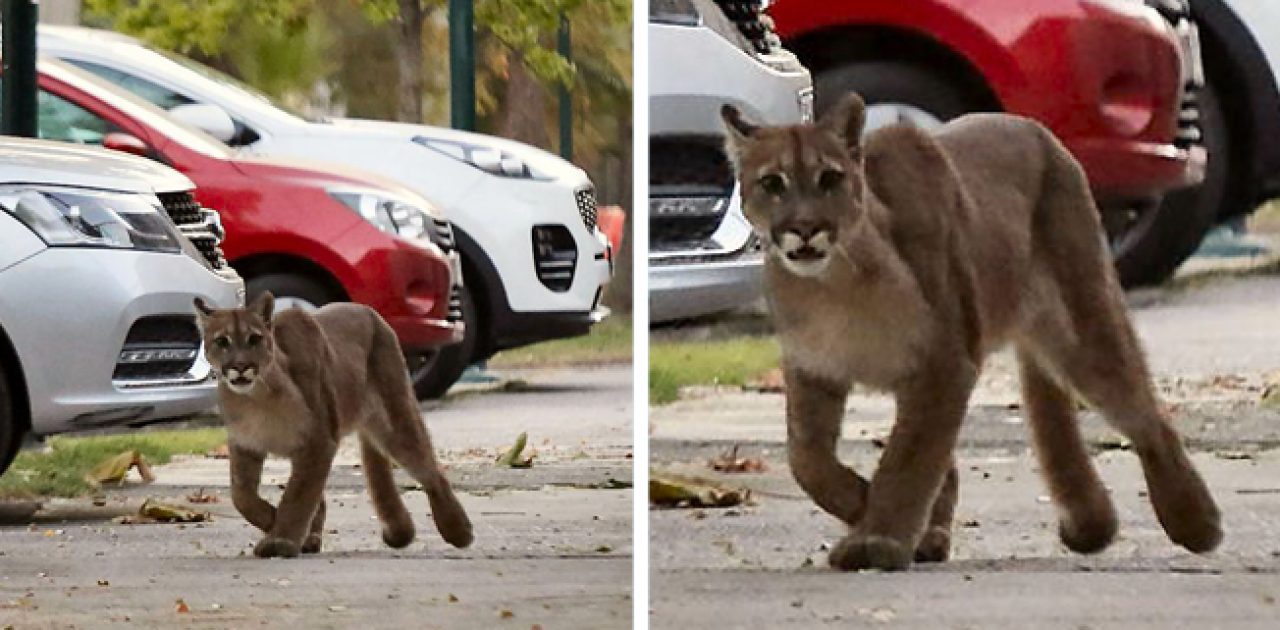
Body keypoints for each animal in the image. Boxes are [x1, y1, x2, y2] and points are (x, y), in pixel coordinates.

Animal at [197, 293, 478, 558]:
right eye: (222, 341)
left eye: (254, 339)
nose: (240, 366)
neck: (257, 397)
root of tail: (370, 311)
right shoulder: (247, 444)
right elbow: (242, 496)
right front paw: (275, 524)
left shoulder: (319, 441)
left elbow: (297, 495)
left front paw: (281, 539)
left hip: (395, 421)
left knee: (431, 471)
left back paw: (459, 530)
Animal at [721, 93, 1218, 571]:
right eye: (773, 183)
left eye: (829, 178)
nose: (805, 229)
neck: (835, 284)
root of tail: (1037, 129)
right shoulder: (815, 368)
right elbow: (808, 461)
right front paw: (874, 514)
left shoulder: (945, 363)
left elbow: (907, 460)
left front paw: (877, 538)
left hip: (1081, 326)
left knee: (1147, 415)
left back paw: (1196, 521)